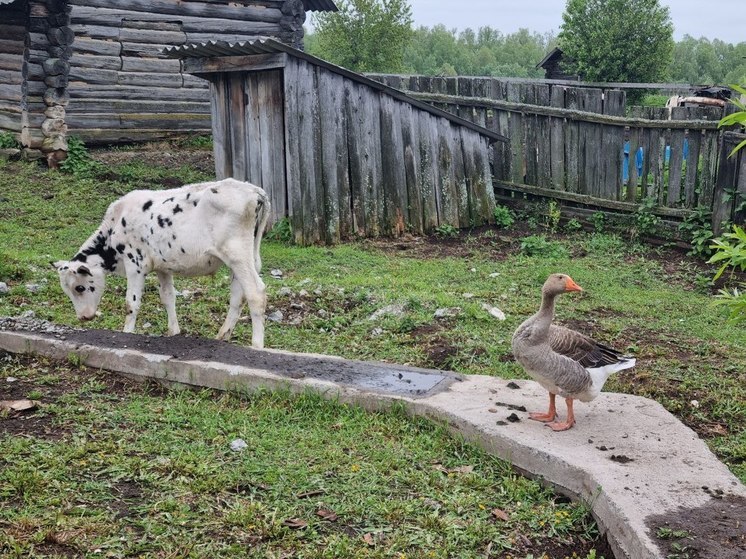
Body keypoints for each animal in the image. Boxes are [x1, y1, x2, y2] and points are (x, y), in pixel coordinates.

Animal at [54, 179, 270, 348]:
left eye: (79, 287)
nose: (83, 317)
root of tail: (253, 190)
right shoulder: (162, 267)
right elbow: (168, 297)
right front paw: (174, 332)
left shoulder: (135, 264)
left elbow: (131, 303)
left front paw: (126, 333)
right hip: (243, 258)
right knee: (238, 297)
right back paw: (222, 336)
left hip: (237, 254)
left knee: (256, 293)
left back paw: (257, 346)